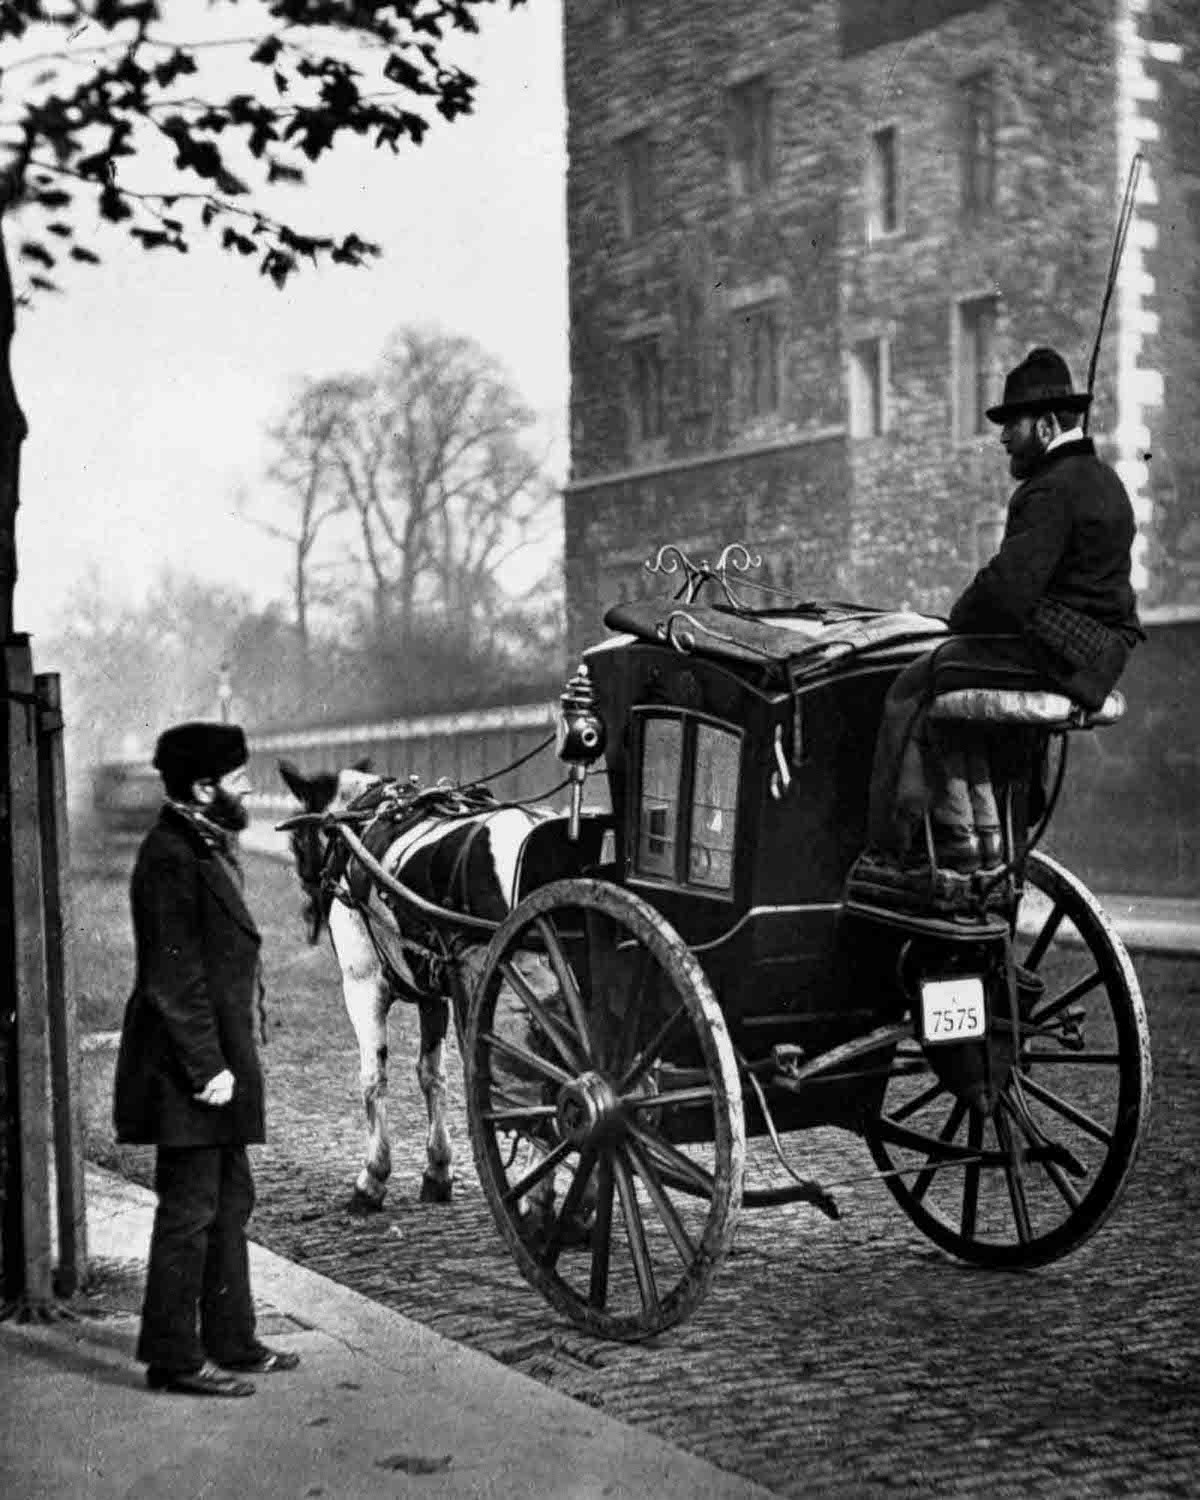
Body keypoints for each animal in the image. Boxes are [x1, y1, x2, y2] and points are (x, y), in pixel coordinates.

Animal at [279, 768, 564, 1212]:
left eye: (297, 842)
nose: (310, 915)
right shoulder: (433, 993)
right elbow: (431, 1074)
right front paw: (438, 1170)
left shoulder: (363, 984)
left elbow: (373, 1077)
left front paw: (373, 1177)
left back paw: (539, 1191)